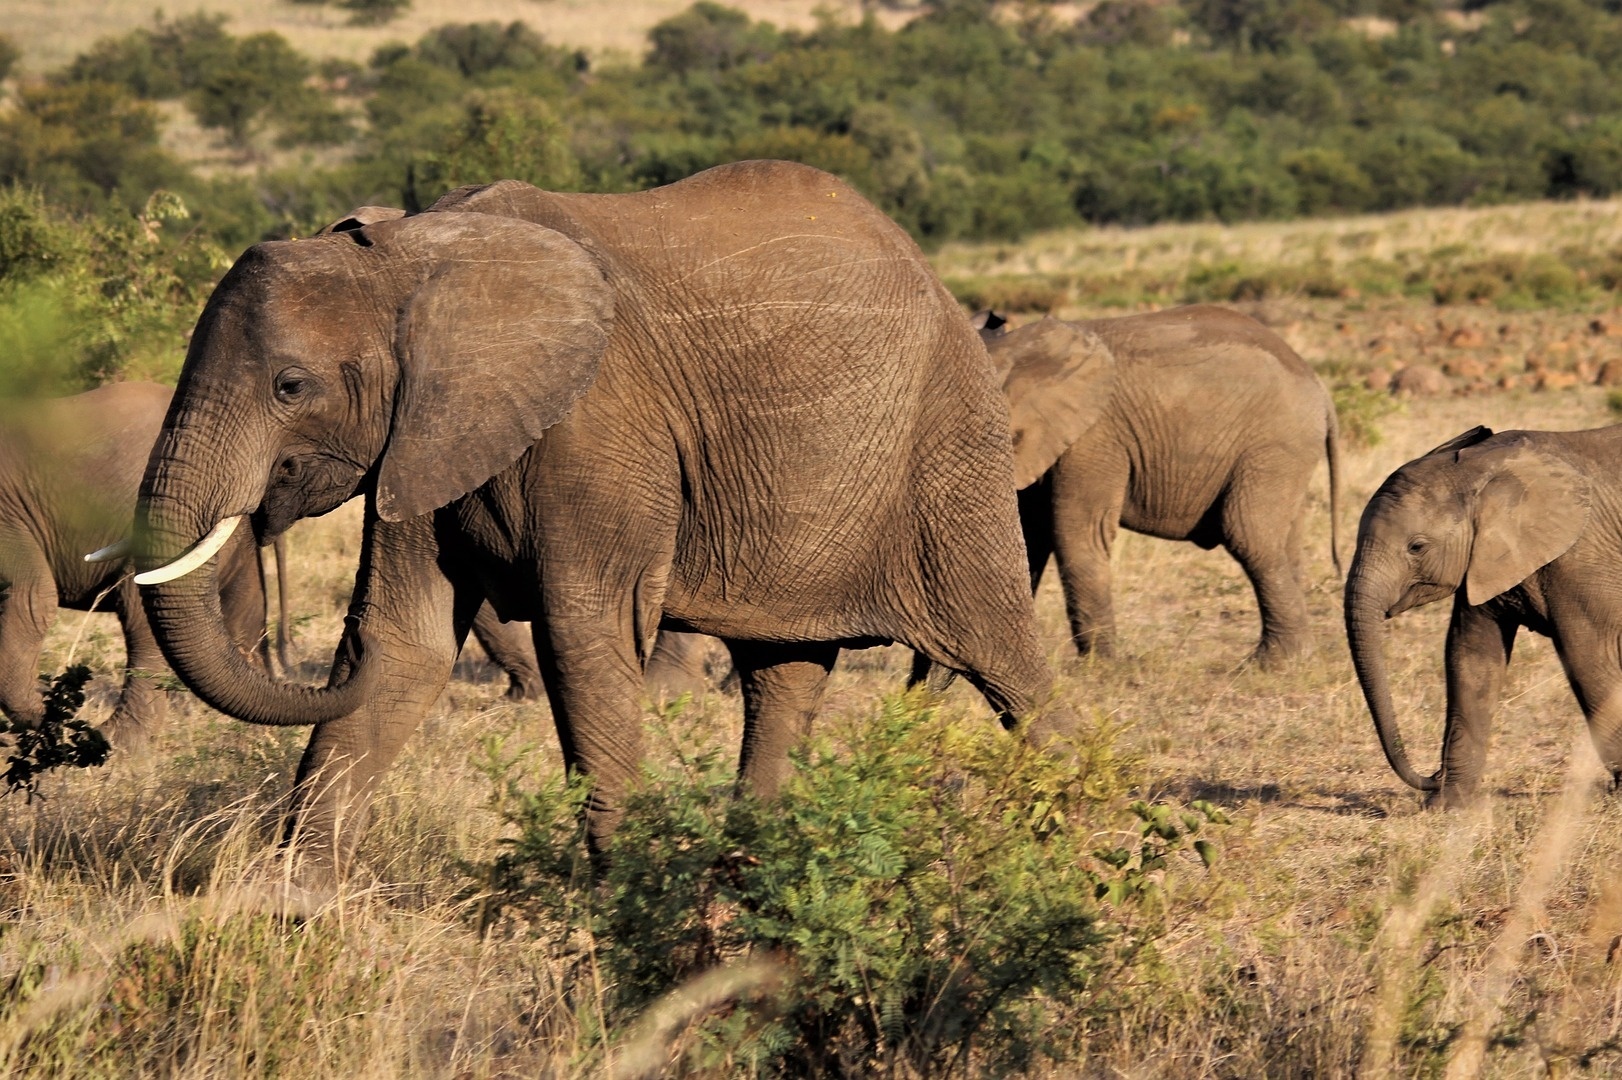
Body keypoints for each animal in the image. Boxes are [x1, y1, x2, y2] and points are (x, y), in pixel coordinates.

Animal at [0, 381, 288, 749]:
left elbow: (32, 596)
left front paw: (52, 718)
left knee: (144, 617)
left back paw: (116, 744)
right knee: (243, 622)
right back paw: (260, 739)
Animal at [129, 162, 1077, 882]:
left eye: (290, 386)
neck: (409, 259)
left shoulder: (595, 423)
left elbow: (585, 636)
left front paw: (621, 913)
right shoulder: (426, 434)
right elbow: (405, 642)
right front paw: (291, 904)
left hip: (949, 452)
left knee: (1009, 664)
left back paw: (1089, 853)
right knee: (783, 676)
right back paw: (753, 878)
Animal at [973, 304, 1343, 664]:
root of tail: (1319, 387)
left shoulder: (1094, 437)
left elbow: (1078, 532)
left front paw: (1099, 668)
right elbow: (1029, 535)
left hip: (1274, 445)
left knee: (1249, 534)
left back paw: (1273, 662)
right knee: (1285, 544)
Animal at [1343, 424, 1622, 804]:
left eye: (1417, 547)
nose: (1433, 775)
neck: (1482, 467)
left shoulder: (1582, 560)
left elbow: (1589, 662)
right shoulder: (1484, 558)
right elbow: (1470, 659)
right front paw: (1447, 806)